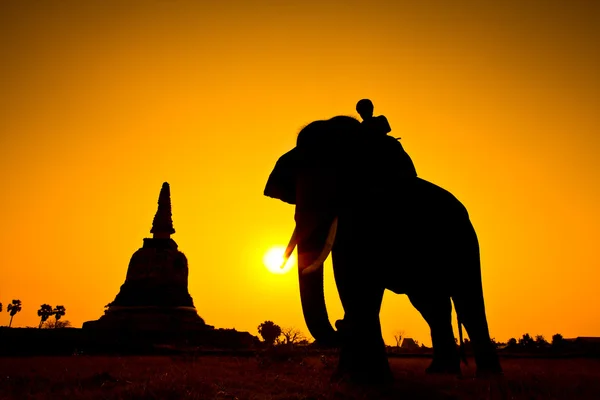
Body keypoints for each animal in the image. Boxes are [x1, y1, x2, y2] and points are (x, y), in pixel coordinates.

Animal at [264, 115, 504, 382]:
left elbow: (360, 280)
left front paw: (366, 378)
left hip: (465, 241)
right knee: (432, 306)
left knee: (467, 299)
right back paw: (440, 371)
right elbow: (347, 277)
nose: (340, 323)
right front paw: (354, 377)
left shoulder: (380, 213)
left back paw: (487, 375)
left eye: (348, 174)